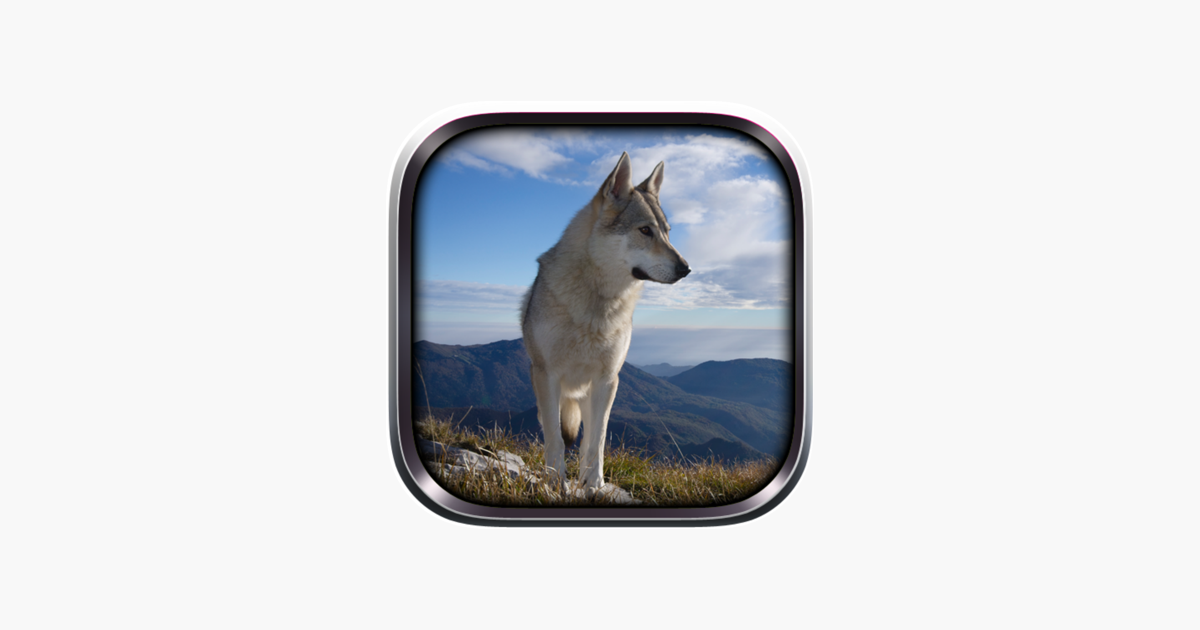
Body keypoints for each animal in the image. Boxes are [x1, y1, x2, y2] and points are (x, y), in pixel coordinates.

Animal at [521, 152, 690, 498]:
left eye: (667, 231)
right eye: (645, 230)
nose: (686, 268)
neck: (596, 305)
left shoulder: (608, 380)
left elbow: (596, 441)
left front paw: (595, 486)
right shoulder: (547, 375)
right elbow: (556, 440)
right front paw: (555, 484)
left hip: (589, 394)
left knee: (587, 440)